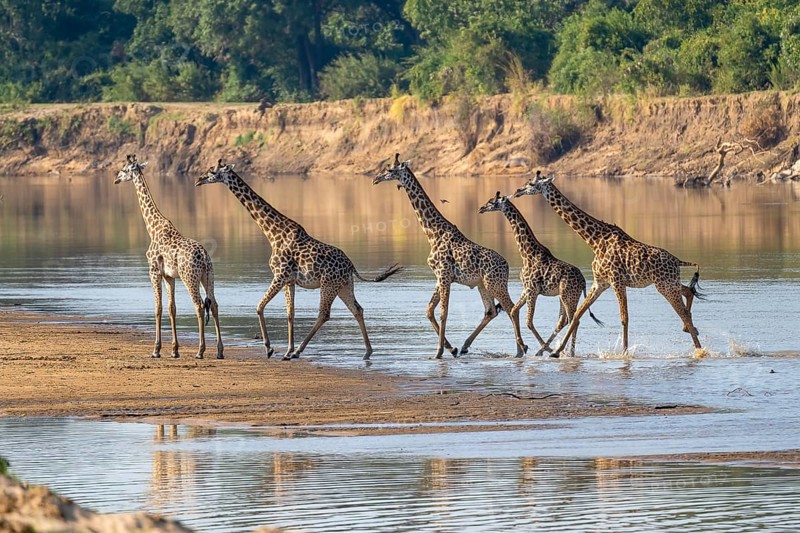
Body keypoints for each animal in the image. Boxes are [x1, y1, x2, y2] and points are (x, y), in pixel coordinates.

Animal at [115, 154, 223, 359]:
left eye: (124, 169)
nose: (116, 178)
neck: (153, 227)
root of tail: (204, 257)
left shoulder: (154, 271)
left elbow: (158, 308)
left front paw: (156, 350)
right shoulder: (169, 276)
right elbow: (172, 308)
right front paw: (174, 350)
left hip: (190, 277)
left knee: (199, 305)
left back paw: (200, 351)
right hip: (209, 276)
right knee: (213, 304)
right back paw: (220, 351)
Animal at [195, 160, 401, 360]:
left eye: (212, 171)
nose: (198, 179)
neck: (272, 233)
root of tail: (351, 265)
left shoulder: (280, 275)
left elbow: (259, 306)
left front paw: (270, 348)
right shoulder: (290, 280)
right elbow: (290, 314)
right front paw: (286, 350)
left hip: (328, 284)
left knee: (324, 314)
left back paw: (299, 351)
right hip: (344, 285)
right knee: (357, 309)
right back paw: (367, 351)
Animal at [373, 154, 527, 358]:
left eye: (390, 170)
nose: (376, 179)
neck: (432, 233)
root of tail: (507, 266)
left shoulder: (444, 275)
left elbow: (442, 312)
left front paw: (438, 352)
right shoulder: (440, 276)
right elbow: (429, 310)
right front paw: (450, 348)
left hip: (495, 283)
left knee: (511, 308)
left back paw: (520, 350)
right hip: (482, 284)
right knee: (491, 311)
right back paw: (466, 346)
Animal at [478, 191, 603, 356]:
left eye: (492, 202)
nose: (481, 208)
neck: (526, 253)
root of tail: (583, 282)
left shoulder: (532, 290)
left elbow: (529, 321)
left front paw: (535, 348)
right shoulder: (527, 289)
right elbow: (514, 310)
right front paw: (523, 348)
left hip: (568, 296)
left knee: (573, 321)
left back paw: (567, 352)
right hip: (564, 296)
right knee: (564, 320)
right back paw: (557, 350)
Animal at [512, 172, 703, 356]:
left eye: (531, 184)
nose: (517, 191)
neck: (594, 240)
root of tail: (677, 261)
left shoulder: (616, 281)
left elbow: (624, 318)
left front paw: (624, 353)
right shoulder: (600, 282)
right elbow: (578, 314)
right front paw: (557, 351)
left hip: (665, 285)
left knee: (683, 312)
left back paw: (699, 348)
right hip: (668, 283)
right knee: (688, 293)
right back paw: (691, 331)